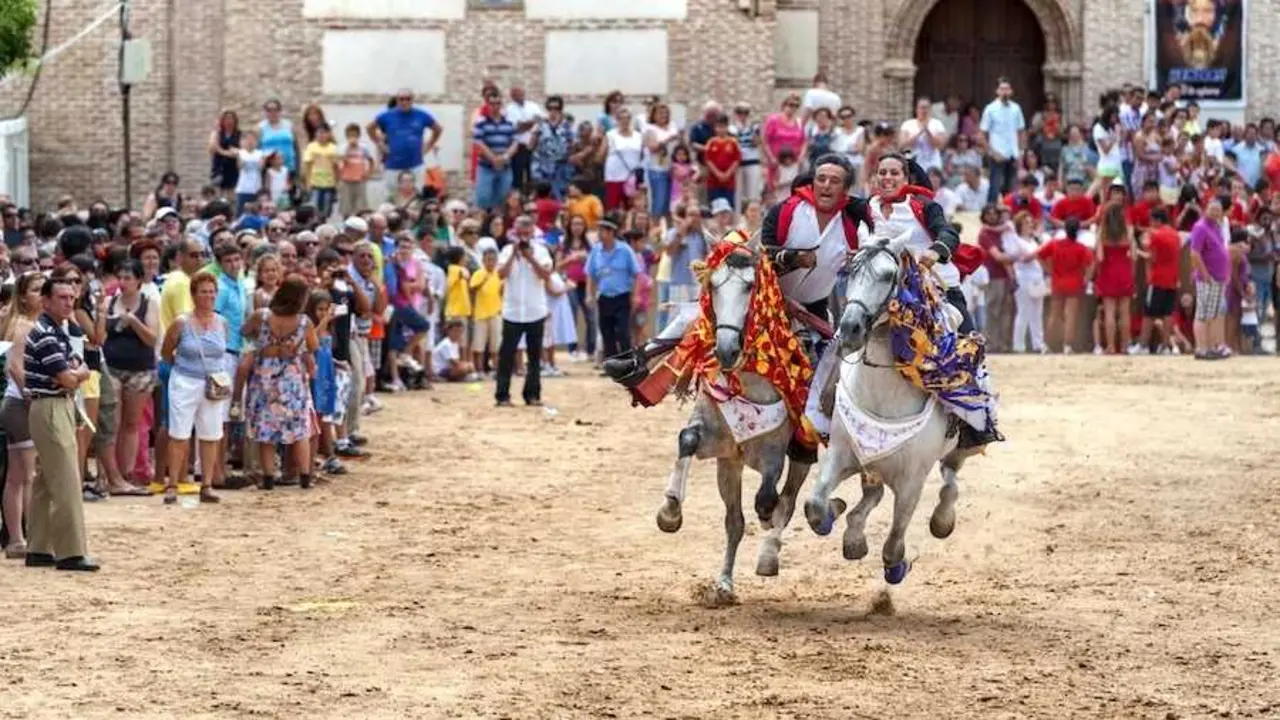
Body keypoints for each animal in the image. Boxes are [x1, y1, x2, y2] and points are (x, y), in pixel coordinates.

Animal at [654, 234, 839, 603]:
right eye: (712, 285)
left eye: (750, 286)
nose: (726, 348)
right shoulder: (718, 441)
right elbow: (687, 439)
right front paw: (669, 513)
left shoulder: (772, 452)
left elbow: (769, 498)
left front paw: (768, 525)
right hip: (730, 465)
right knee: (735, 521)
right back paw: (724, 583)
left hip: (799, 454)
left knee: (787, 500)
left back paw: (768, 553)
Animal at [802, 234, 978, 585]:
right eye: (850, 273)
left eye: (886, 276)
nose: (851, 328)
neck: (883, 397)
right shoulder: (841, 453)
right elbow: (815, 504)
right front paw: (834, 515)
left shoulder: (912, 479)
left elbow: (895, 539)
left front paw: (898, 567)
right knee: (873, 494)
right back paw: (853, 535)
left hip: (960, 447)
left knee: (950, 481)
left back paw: (942, 521)